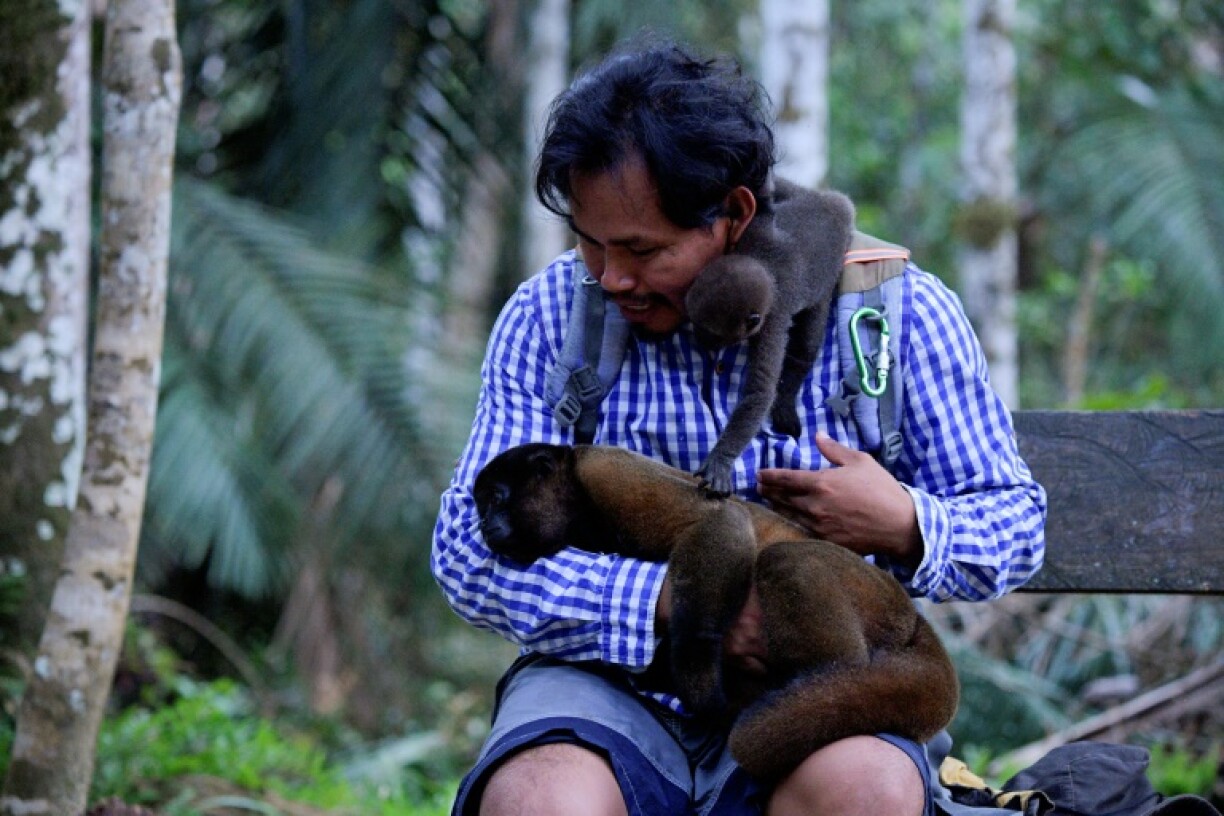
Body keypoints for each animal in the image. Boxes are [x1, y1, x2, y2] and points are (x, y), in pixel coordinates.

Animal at [472, 442, 960, 782]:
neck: (576, 508)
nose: (482, 524)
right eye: (480, 506)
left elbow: (716, 520)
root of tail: (915, 620)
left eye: (496, 498)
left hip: (874, 600)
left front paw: (698, 683)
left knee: (788, 560)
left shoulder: (606, 470)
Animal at [685, 178, 856, 496]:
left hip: (828, 281)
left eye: (711, 332)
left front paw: (720, 459)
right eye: (694, 323)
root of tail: (838, 208)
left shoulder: (773, 321)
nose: (700, 341)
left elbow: (760, 392)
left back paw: (786, 401)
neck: (765, 267)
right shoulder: (753, 235)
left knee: (806, 344)